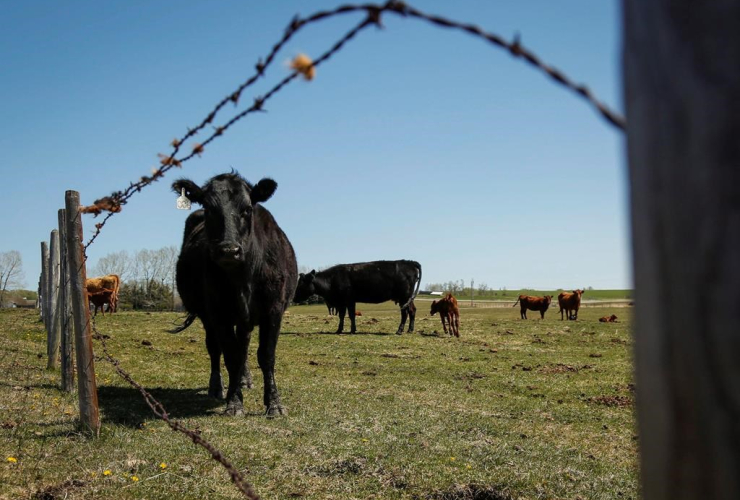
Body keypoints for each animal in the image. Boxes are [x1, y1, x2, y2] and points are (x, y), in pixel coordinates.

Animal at [171, 173, 298, 418]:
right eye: (209, 208)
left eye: (247, 209)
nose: (229, 250)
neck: (243, 278)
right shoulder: (218, 313)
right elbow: (230, 355)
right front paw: (234, 402)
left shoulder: (274, 310)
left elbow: (266, 355)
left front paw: (274, 403)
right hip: (208, 316)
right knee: (215, 348)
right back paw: (217, 387)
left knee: (244, 345)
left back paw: (244, 379)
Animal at [294, 260, 422, 334]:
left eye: (300, 284)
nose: (294, 298)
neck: (332, 280)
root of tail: (409, 262)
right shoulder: (342, 302)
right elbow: (342, 315)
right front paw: (340, 330)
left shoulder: (348, 300)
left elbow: (350, 315)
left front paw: (351, 330)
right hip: (408, 298)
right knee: (412, 310)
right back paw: (410, 330)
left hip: (404, 297)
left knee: (405, 313)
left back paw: (399, 330)